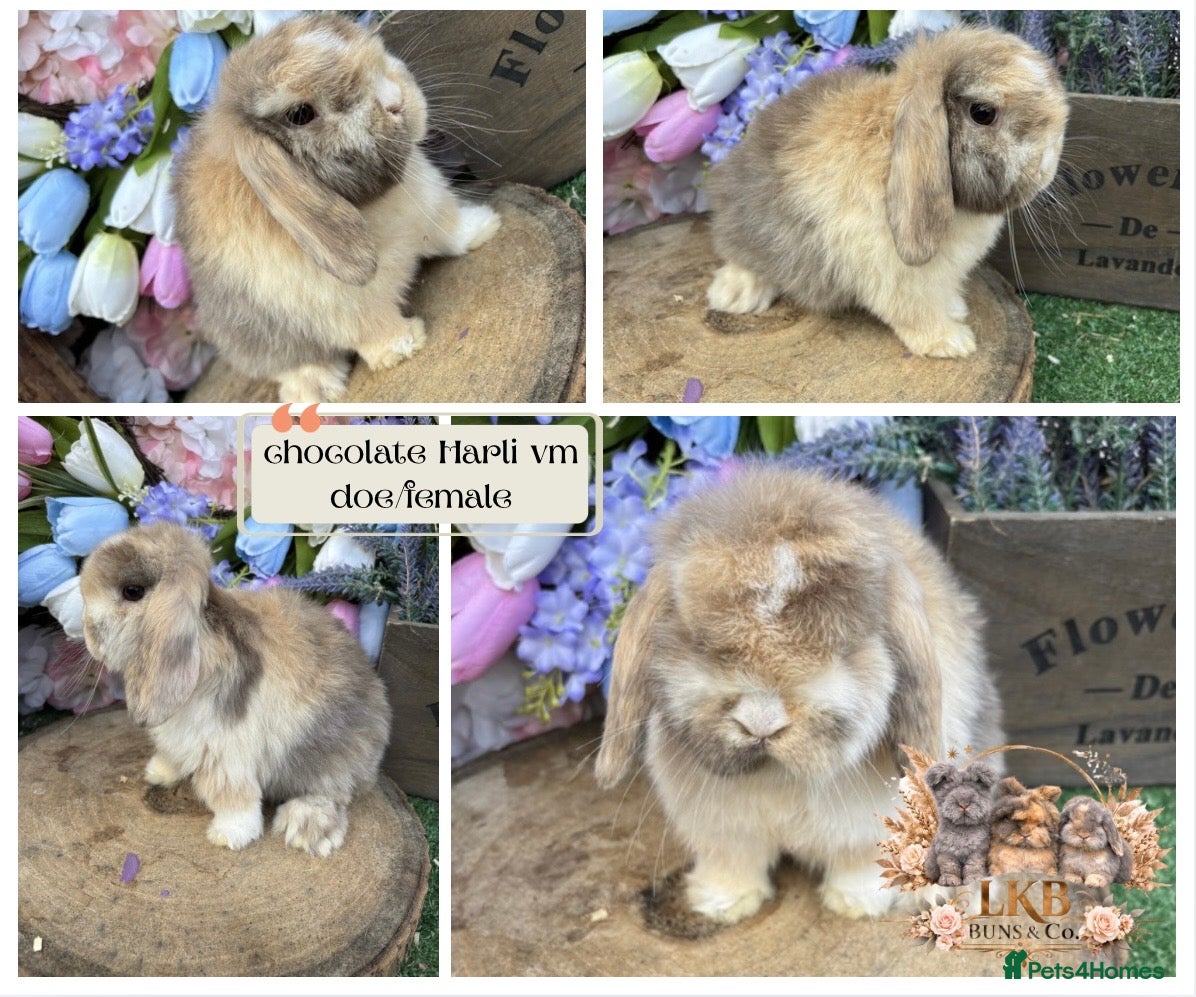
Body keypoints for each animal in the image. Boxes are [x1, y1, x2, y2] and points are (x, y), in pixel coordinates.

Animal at [78, 522, 391, 857]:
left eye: (132, 592)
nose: (89, 636)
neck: (202, 641)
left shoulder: (226, 756)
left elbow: (232, 798)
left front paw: (229, 834)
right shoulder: (181, 738)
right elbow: (174, 756)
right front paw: (158, 772)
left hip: (329, 762)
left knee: (335, 793)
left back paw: (304, 828)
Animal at [172, 12, 502, 402]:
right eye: (300, 114)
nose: (397, 99)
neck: (371, 206)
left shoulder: (432, 207)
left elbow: (451, 230)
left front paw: (486, 226)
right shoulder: (344, 307)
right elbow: (375, 328)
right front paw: (404, 345)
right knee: (289, 363)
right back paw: (315, 389)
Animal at [594, 464, 1003, 923]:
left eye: (844, 649)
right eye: (700, 643)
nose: (761, 722)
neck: (777, 775)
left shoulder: (868, 827)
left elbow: (861, 864)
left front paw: (854, 904)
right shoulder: (723, 829)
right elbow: (733, 861)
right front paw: (720, 903)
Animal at [705, 26, 1069, 358]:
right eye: (983, 113)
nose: (1046, 168)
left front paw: (955, 308)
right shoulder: (893, 276)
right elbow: (914, 314)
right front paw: (952, 342)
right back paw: (734, 294)